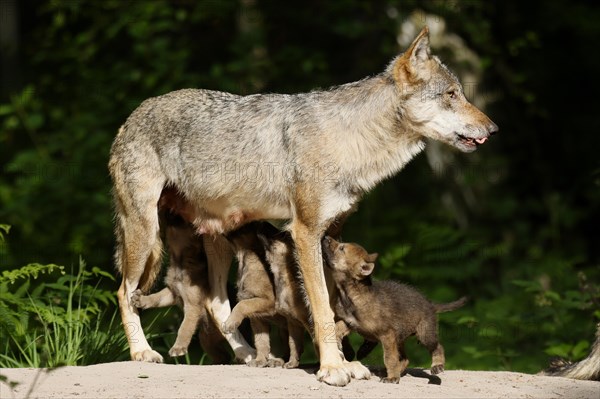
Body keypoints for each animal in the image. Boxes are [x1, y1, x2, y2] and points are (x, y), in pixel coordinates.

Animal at [108, 25, 496, 388]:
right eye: (451, 95)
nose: (493, 129)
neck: (351, 139)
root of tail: (132, 115)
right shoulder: (305, 233)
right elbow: (322, 309)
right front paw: (333, 369)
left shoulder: (330, 236)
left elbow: (331, 310)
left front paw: (346, 364)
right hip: (145, 235)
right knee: (125, 292)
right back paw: (143, 352)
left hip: (216, 239)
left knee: (216, 301)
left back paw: (249, 355)